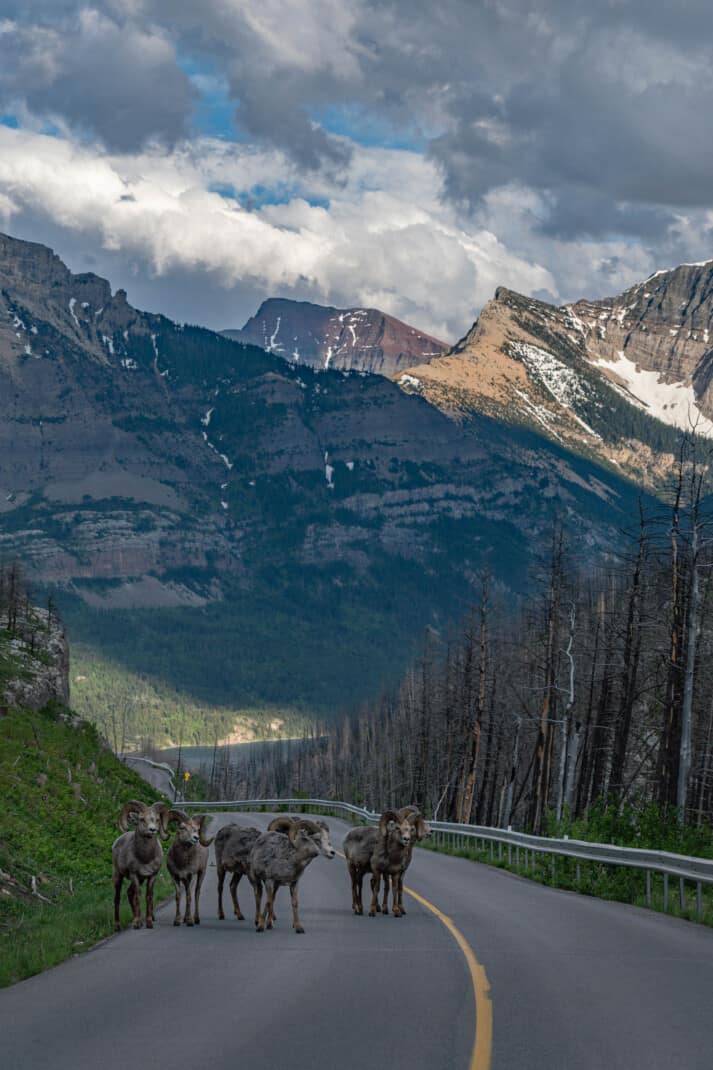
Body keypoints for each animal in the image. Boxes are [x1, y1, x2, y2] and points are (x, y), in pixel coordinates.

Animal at [114, 800, 169, 933]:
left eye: (157, 820)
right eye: (142, 819)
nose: (152, 830)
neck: (145, 858)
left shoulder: (152, 876)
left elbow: (148, 896)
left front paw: (148, 923)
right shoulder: (134, 875)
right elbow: (138, 897)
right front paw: (137, 923)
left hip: (140, 879)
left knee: (129, 893)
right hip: (118, 876)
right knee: (117, 898)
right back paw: (117, 926)